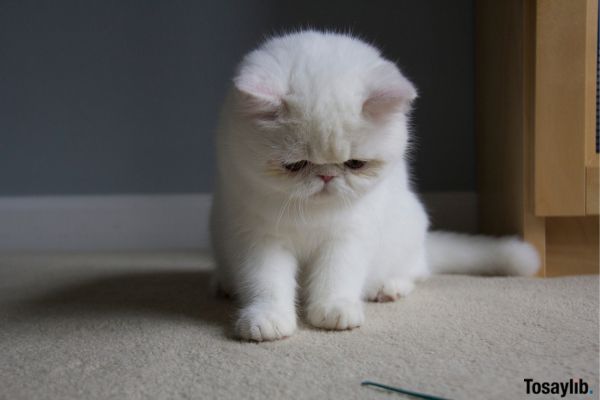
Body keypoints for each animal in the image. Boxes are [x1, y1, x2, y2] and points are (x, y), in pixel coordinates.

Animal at [211, 30, 540, 340]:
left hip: (407, 228)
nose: (327, 176)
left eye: (355, 164)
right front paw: (267, 318)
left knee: (416, 270)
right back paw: (226, 286)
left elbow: (336, 276)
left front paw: (335, 309)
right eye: (295, 166)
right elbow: (267, 282)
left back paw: (388, 287)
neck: (313, 217)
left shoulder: (348, 235)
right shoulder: (260, 237)